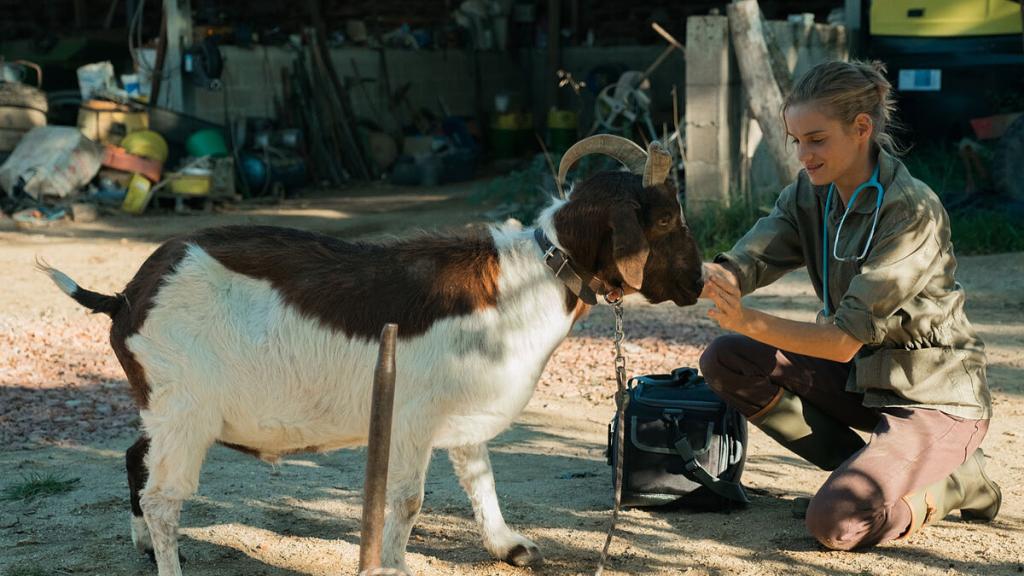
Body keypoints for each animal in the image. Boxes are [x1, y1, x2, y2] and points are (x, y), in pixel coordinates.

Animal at [41, 133, 704, 569]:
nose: (699, 282)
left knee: (136, 456)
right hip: (185, 412)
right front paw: (393, 565)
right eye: (664, 219)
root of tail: (126, 297)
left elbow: (481, 477)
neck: (531, 276)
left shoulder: (462, 410)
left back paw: (143, 547)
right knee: (163, 499)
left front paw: (509, 545)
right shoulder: (411, 419)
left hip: (166, 408)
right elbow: (407, 502)